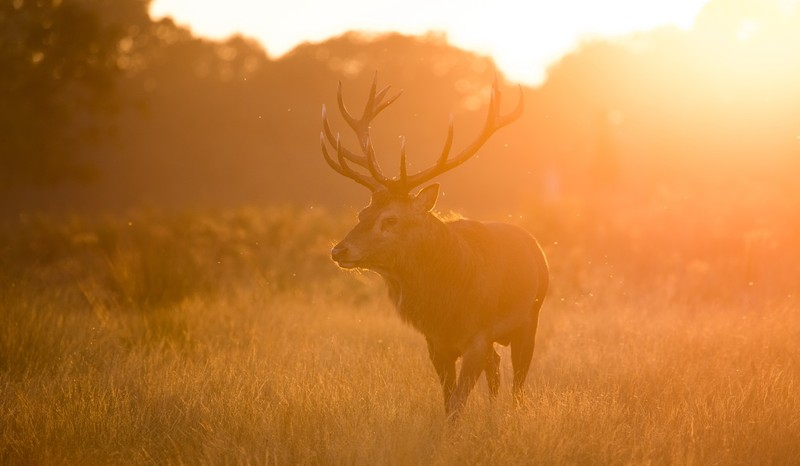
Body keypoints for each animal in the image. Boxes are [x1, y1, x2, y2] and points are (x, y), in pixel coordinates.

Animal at [318, 73, 552, 418]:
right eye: (362, 213)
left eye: (390, 220)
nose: (339, 250)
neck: (445, 306)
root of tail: (535, 246)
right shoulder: (436, 343)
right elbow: (448, 402)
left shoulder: (477, 337)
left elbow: (456, 404)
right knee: (496, 369)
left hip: (530, 317)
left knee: (517, 383)